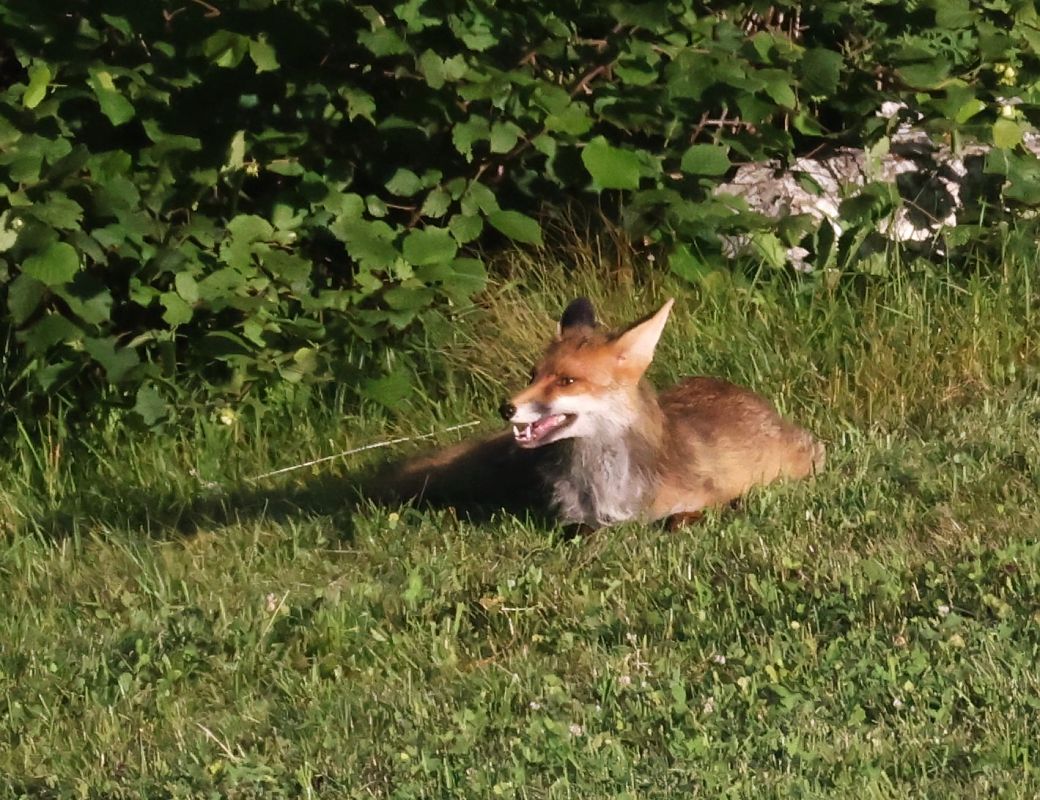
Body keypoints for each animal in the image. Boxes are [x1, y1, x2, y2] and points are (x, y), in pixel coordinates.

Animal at [376, 297, 824, 530]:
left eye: (567, 381)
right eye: (533, 375)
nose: (506, 408)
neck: (602, 489)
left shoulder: (714, 496)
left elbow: (681, 518)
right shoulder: (570, 519)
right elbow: (576, 529)